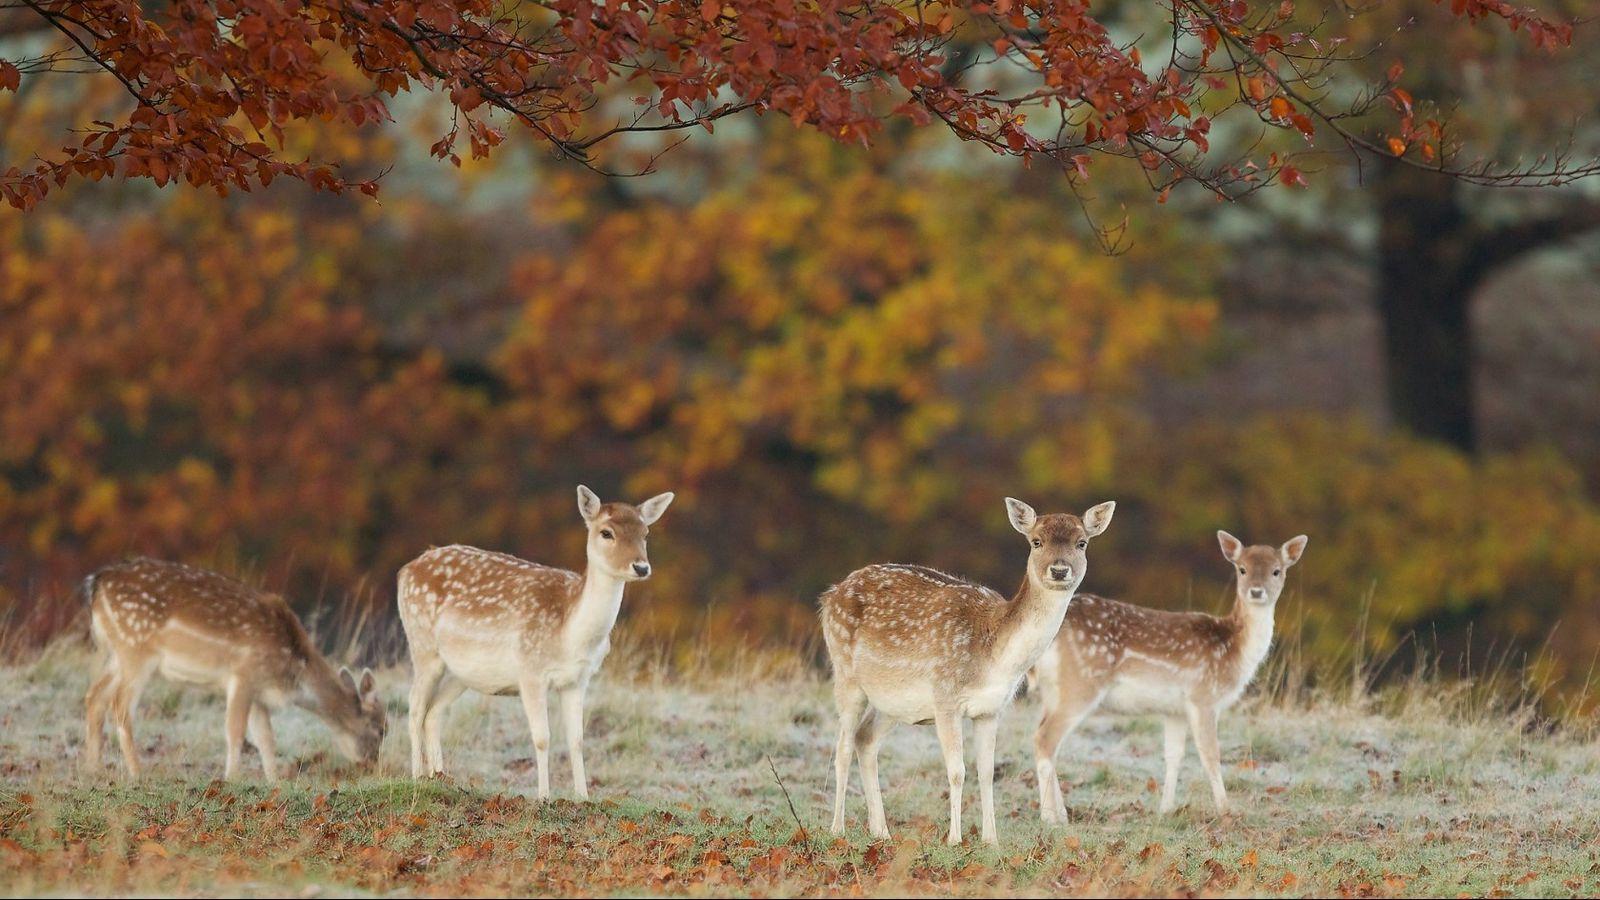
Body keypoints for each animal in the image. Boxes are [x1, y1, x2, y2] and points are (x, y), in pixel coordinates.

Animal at [83, 558, 387, 781]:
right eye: (381, 729)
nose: (372, 764)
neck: (292, 667)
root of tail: (97, 583)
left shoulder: (259, 690)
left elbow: (266, 737)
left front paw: (274, 781)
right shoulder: (243, 674)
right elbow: (235, 730)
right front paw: (232, 778)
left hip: (115, 654)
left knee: (94, 696)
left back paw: (94, 770)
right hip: (135, 649)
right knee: (120, 705)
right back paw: (137, 773)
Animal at [396, 484, 673, 797]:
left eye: (645, 533)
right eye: (606, 532)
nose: (641, 567)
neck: (570, 635)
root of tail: (406, 570)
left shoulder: (578, 679)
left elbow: (577, 739)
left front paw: (583, 797)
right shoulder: (530, 671)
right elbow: (542, 737)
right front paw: (544, 796)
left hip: (461, 673)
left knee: (434, 712)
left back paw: (441, 778)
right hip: (422, 646)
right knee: (415, 708)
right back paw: (417, 777)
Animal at [819, 497, 1115, 845]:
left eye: (1082, 543)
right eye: (1036, 541)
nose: (1058, 570)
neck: (994, 658)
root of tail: (830, 595)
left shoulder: (991, 709)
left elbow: (985, 772)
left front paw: (991, 840)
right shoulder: (945, 697)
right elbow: (957, 770)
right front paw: (955, 839)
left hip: (892, 701)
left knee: (865, 739)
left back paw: (882, 831)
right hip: (845, 673)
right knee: (842, 746)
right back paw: (837, 829)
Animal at [1029, 530, 1309, 822]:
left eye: (1277, 571)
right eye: (1242, 569)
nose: (1256, 591)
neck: (1233, 651)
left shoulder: (1174, 710)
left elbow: (1173, 755)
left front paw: (1166, 809)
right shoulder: (1203, 696)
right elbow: (1211, 754)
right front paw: (1225, 811)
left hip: (1053, 691)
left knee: (1044, 738)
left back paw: (1061, 813)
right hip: (1080, 683)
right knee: (1044, 739)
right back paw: (1050, 818)